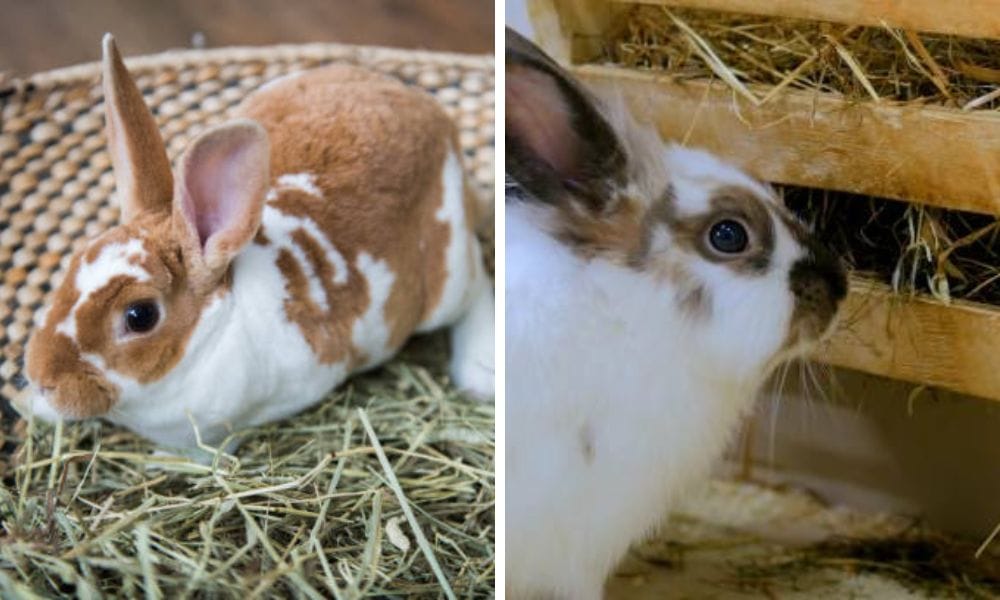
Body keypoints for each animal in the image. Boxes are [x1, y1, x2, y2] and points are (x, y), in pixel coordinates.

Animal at [16, 34, 494, 452]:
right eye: (75, 261)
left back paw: (479, 373)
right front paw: (35, 407)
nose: (43, 379)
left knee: (479, 288)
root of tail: (436, 119)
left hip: (448, 275)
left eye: (140, 315)